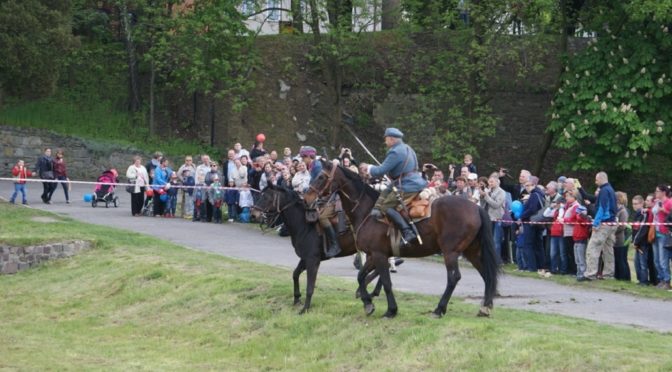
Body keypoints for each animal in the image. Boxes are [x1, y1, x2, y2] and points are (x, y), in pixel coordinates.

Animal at [304, 158, 498, 318]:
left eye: (321, 177)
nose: (307, 198)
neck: (366, 211)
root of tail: (476, 207)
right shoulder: (374, 255)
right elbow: (361, 276)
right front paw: (368, 303)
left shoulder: (379, 255)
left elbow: (386, 282)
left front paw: (391, 310)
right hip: (472, 251)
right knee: (486, 275)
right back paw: (485, 307)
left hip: (450, 252)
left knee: (454, 278)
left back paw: (439, 309)